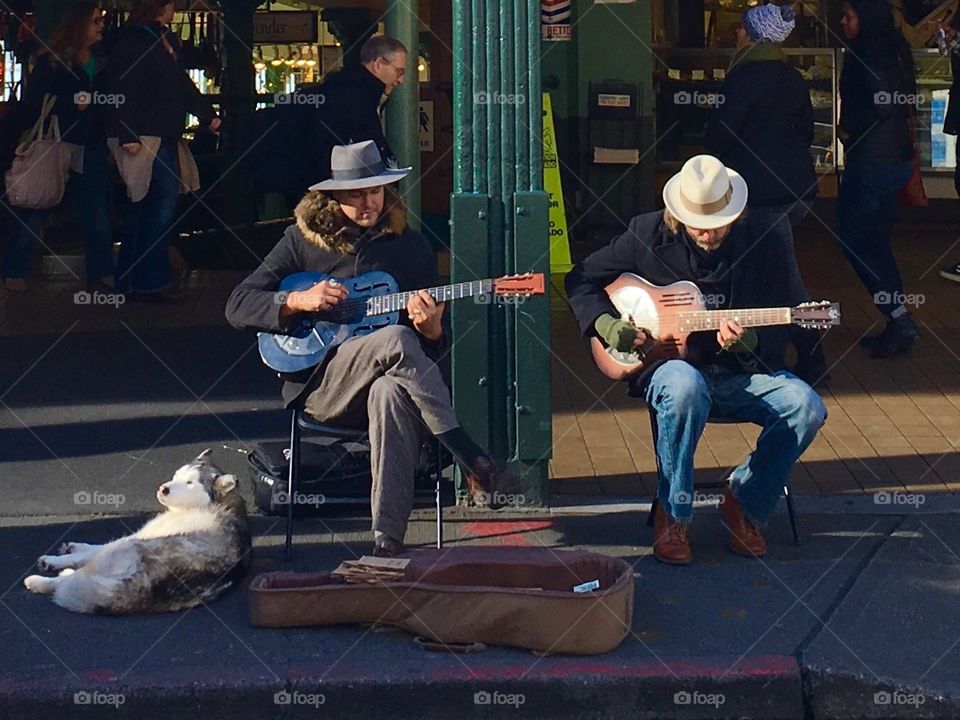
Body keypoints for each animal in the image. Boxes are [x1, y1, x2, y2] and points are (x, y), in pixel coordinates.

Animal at [25, 450, 251, 612]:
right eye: (177, 475)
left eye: (190, 483)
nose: (163, 489)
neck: (217, 504)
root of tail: (149, 588)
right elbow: (92, 547)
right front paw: (75, 546)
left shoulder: (138, 537)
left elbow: (88, 554)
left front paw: (55, 560)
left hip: (124, 550)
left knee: (67, 581)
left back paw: (41, 580)